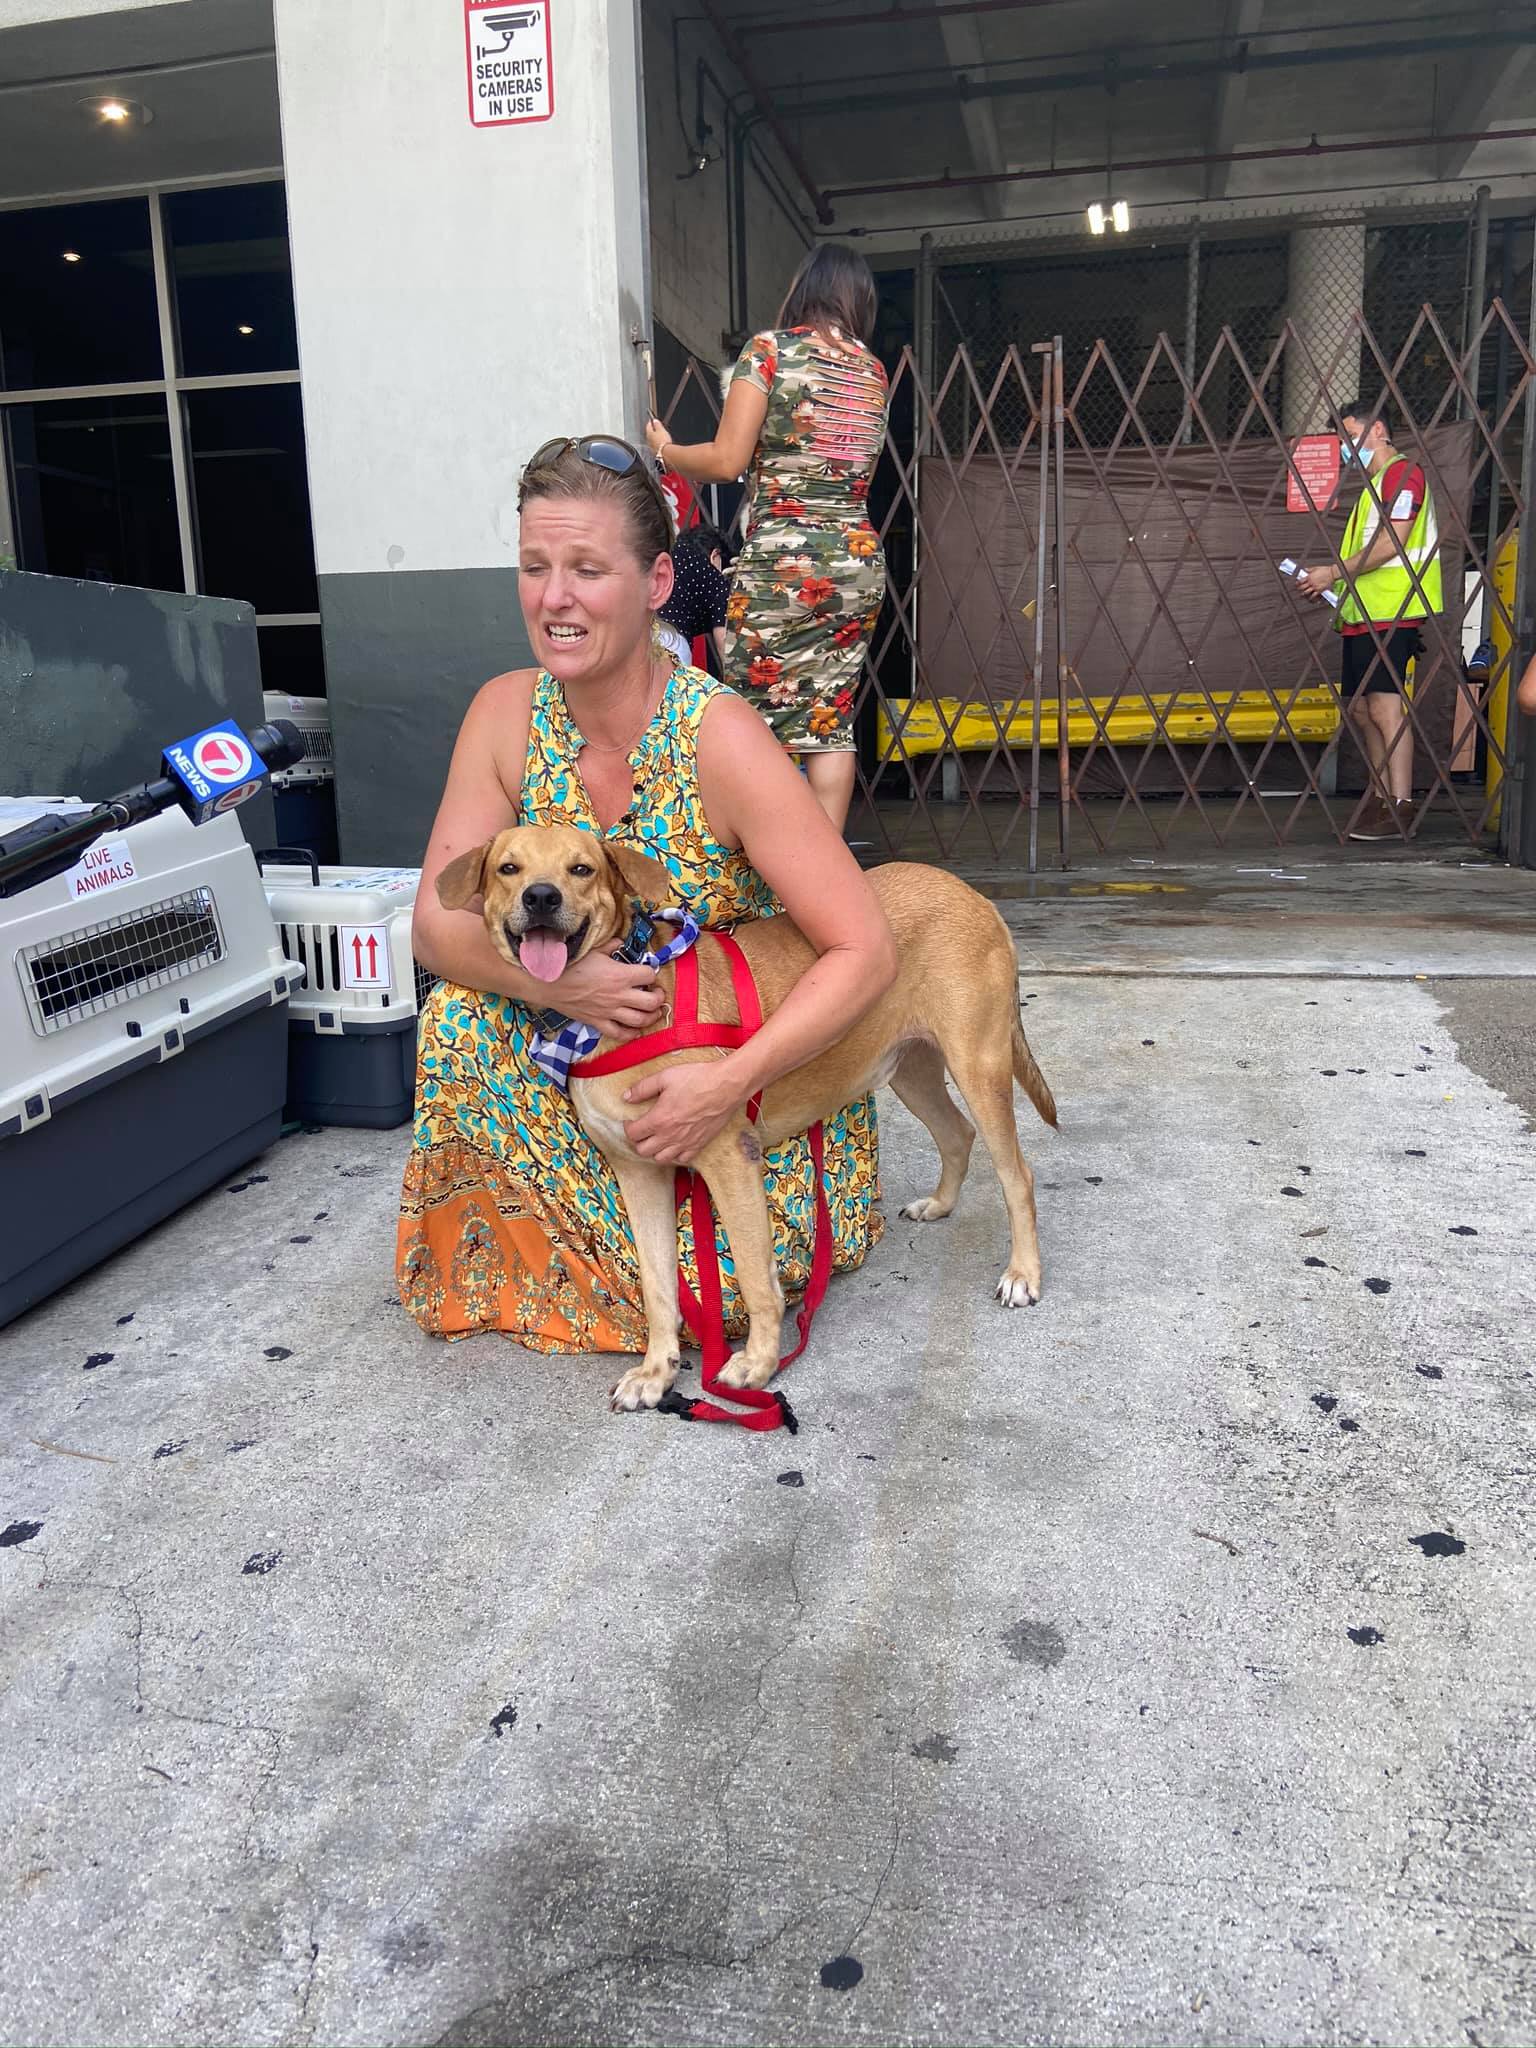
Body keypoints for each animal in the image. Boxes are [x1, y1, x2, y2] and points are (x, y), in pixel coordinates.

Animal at [436, 823, 1056, 1417]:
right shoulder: (639, 1173)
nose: (541, 897)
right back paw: (941, 1204)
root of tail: (969, 892)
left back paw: (1023, 1274)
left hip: (978, 1064)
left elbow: (759, 1282)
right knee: (957, 1133)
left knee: (1017, 1175)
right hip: (909, 1066)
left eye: (581, 869)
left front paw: (758, 1365)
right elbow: (658, 1287)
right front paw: (657, 1373)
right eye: (508, 868)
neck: (603, 1016)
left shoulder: (729, 1159)